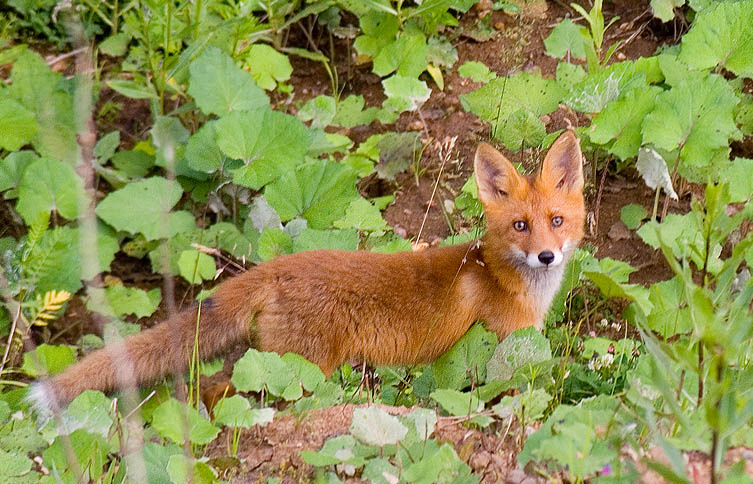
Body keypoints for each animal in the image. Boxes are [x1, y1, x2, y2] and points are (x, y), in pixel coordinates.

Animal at [28, 130, 585, 411]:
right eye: (519, 226)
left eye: (556, 221)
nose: (546, 256)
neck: (502, 280)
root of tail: (278, 266)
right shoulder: (499, 351)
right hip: (300, 368)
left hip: (272, 358)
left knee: (213, 383)